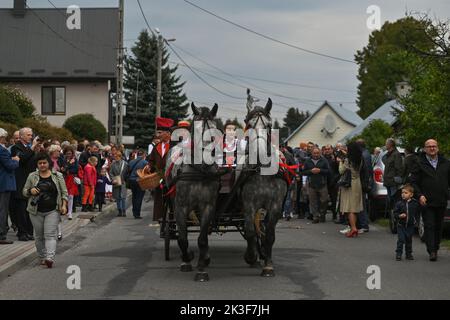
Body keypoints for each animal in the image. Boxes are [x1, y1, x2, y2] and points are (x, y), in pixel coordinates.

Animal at [241, 98, 286, 278]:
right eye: (249, 124)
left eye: (268, 125)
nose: (260, 152)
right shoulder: (248, 204)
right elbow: (250, 231)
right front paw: (251, 255)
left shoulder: (275, 205)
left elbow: (269, 235)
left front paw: (268, 265)